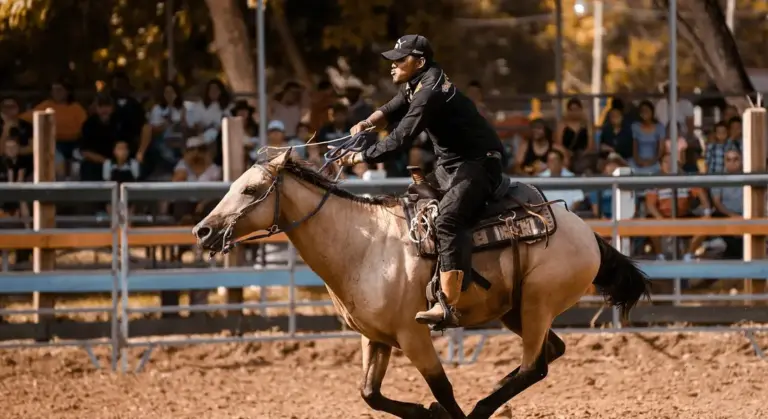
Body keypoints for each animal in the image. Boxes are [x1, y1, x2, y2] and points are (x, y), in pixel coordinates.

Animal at [192, 150, 651, 419]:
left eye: (251, 189)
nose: (203, 231)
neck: (363, 244)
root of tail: (586, 233)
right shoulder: (374, 338)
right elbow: (370, 394)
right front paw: (428, 411)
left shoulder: (413, 336)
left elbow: (442, 387)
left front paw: (443, 410)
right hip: (515, 310)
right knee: (547, 354)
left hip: (538, 303)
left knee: (533, 365)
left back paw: (482, 407)